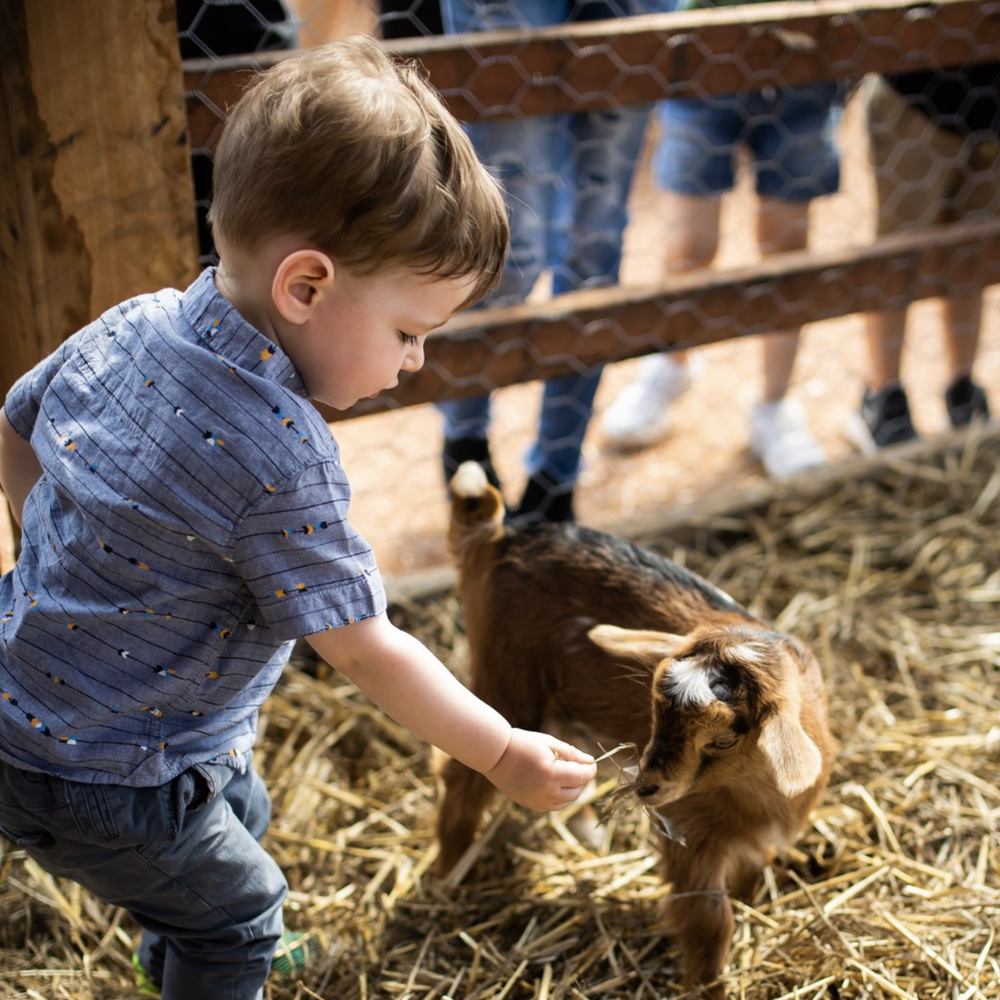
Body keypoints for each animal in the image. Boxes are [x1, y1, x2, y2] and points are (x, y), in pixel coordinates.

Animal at [438, 464, 836, 996]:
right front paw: (709, 986)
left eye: (725, 738)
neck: (751, 792)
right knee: (464, 772)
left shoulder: (752, 840)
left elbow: (750, 877)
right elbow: (710, 919)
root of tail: (496, 536)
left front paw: (751, 904)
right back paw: (450, 869)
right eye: (654, 708)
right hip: (506, 683)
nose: (647, 786)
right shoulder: (691, 834)